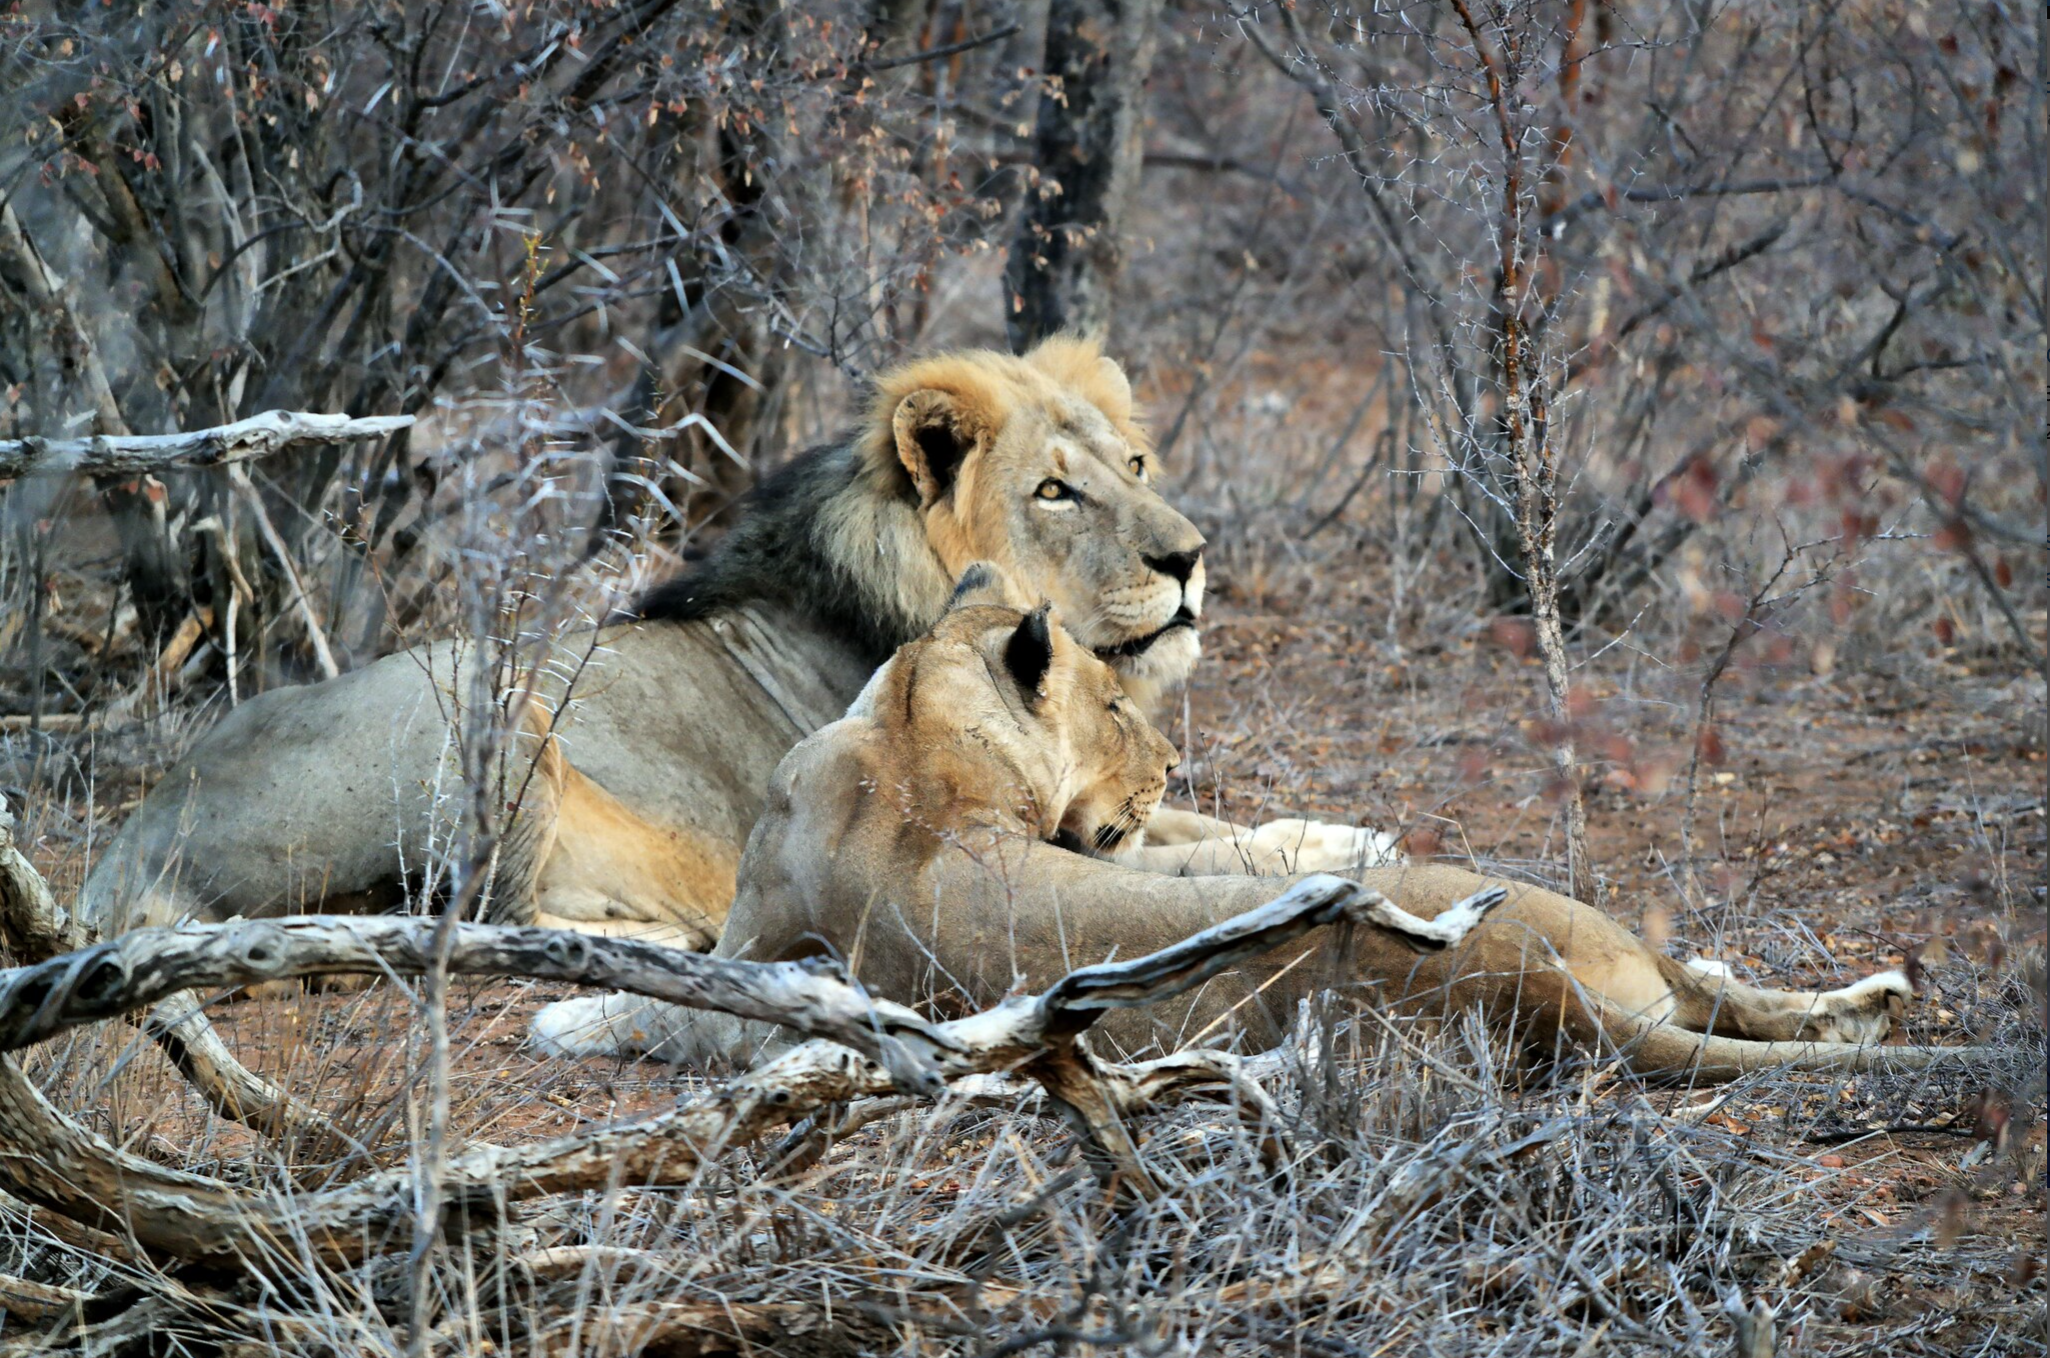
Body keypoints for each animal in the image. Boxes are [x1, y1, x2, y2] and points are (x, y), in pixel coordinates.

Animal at [80, 339, 1389, 946]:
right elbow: (1188, 835)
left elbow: (1204, 817)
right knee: (463, 915)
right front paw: (1338, 846)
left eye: (1135, 464)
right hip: (491, 703)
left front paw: (1343, 828)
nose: (1190, 557)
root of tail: (142, 821)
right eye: (1055, 492)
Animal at [531, 570, 1971, 1079]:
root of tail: (1518, 981)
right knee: (1714, 982)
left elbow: (650, 994)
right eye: (1120, 698)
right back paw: (1871, 1003)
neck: (919, 740)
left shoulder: (765, 959)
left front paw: (560, 1012)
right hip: (1574, 924)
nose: (1168, 753)